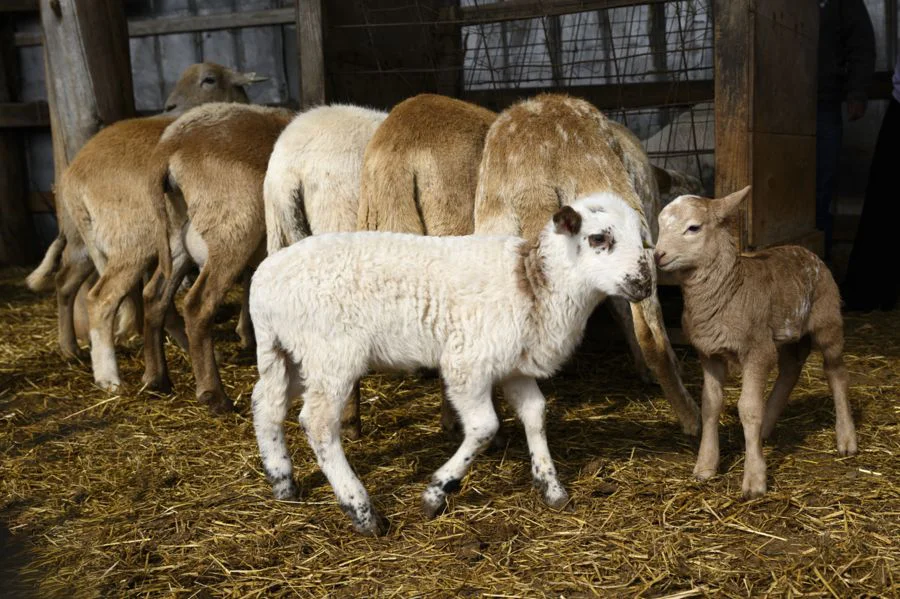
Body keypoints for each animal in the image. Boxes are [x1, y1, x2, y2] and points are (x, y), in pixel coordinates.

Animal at [25, 63, 267, 367]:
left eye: (209, 80)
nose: (170, 105)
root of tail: (72, 177)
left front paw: (246, 331)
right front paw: (247, 332)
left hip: (84, 239)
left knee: (65, 282)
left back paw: (70, 348)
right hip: (135, 237)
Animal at [143, 103, 295, 413]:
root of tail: (170, 143)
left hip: (177, 233)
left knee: (154, 296)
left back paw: (157, 379)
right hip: (233, 229)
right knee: (198, 306)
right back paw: (214, 395)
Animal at [250, 193, 655, 535]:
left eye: (641, 237)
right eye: (598, 238)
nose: (644, 284)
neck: (533, 285)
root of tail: (262, 283)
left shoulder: (513, 367)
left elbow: (536, 414)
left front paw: (550, 486)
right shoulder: (467, 364)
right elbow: (484, 427)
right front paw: (436, 492)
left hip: (289, 353)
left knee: (265, 403)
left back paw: (283, 482)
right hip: (332, 353)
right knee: (317, 423)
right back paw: (361, 511)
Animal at [654, 186, 858, 498]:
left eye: (693, 228)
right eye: (660, 225)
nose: (658, 255)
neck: (730, 288)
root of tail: (806, 250)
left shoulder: (756, 351)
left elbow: (748, 409)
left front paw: (754, 479)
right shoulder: (708, 352)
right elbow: (710, 404)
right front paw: (705, 465)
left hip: (828, 318)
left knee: (836, 372)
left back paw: (846, 438)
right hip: (784, 333)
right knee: (790, 369)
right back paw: (765, 429)